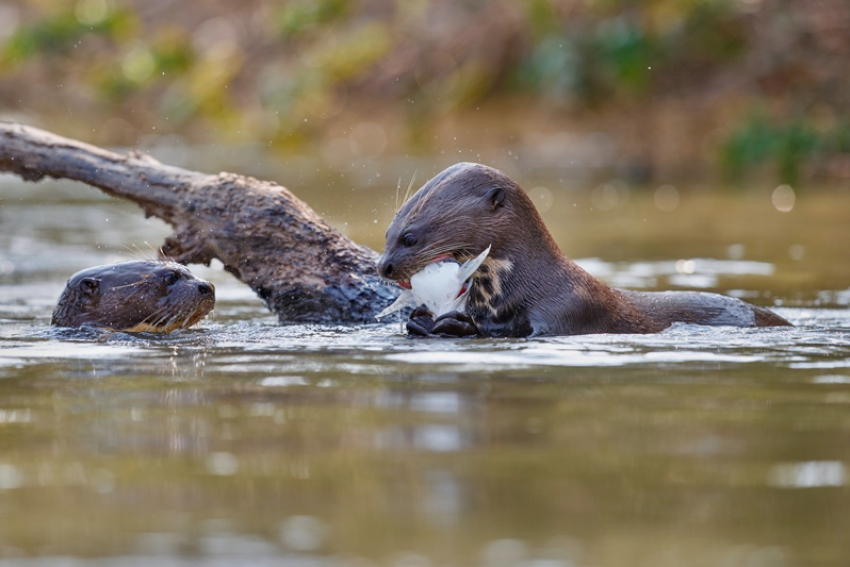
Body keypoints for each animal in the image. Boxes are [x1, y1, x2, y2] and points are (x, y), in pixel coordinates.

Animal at [374, 162, 792, 338]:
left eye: (411, 237)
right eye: (388, 232)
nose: (384, 267)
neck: (532, 283)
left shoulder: (568, 310)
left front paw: (456, 324)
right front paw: (421, 320)